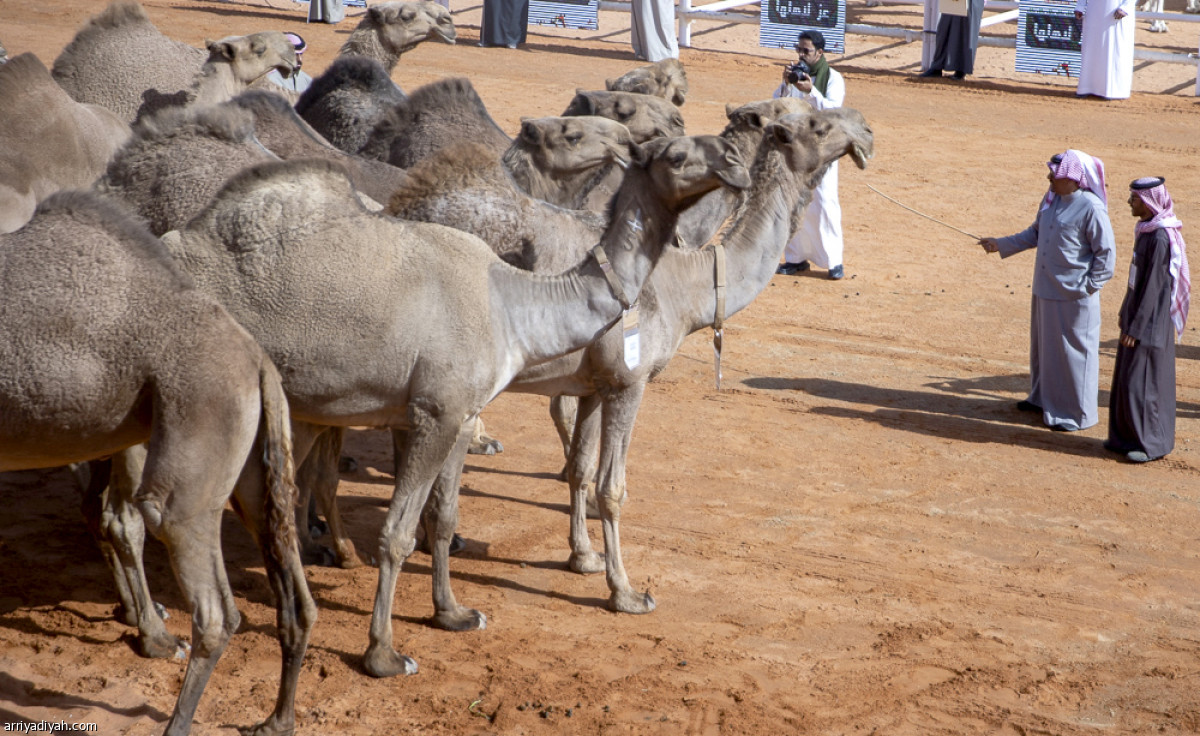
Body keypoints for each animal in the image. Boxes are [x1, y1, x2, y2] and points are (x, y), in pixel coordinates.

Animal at [0, 189, 314, 734]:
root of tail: (257, 359)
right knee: (290, 591)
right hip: (251, 462)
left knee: (212, 608)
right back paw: (277, 720)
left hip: (192, 432)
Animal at [154, 135, 744, 672]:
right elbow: (396, 534)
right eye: (676, 153)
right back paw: (164, 628)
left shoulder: (456, 414)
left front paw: (454, 614)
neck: (510, 303)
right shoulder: (434, 413)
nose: (734, 160)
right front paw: (384, 653)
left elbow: (441, 515)